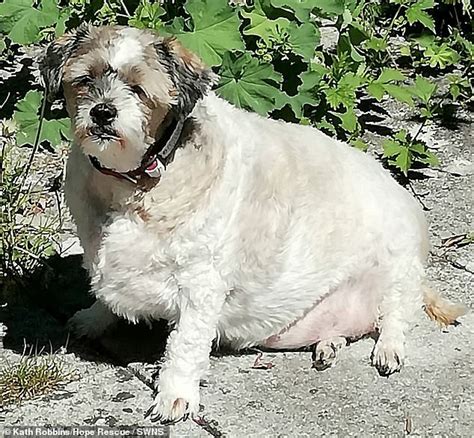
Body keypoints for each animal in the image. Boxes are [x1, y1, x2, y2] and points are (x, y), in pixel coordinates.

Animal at [39, 24, 464, 424]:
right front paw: (93, 318)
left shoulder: (201, 284)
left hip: (397, 263)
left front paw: (175, 395)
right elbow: (105, 298)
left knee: (395, 312)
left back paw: (388, 347)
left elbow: (185, 344)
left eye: (139, 90)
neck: (134, 183)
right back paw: (328, 344)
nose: (103, 111)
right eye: (84, 80)